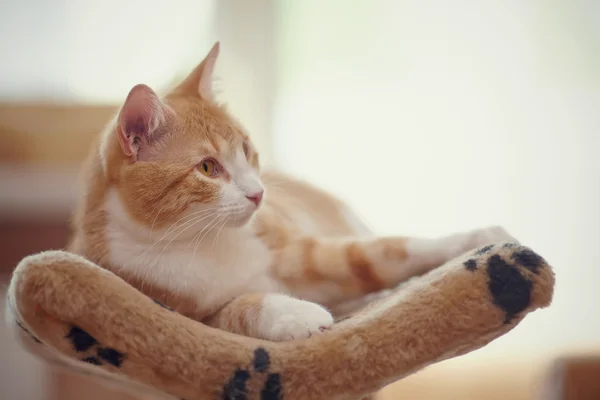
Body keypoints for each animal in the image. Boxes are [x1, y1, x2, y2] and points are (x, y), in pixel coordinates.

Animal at [68, 43, 512, 340]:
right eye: (208, 168)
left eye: (246, 149)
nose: (258, 194)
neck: (202, 243)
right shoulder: (176, 311)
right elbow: (236, 309)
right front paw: (294, 314)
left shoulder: (302, 251)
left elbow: (387, 250)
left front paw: (478, 238)